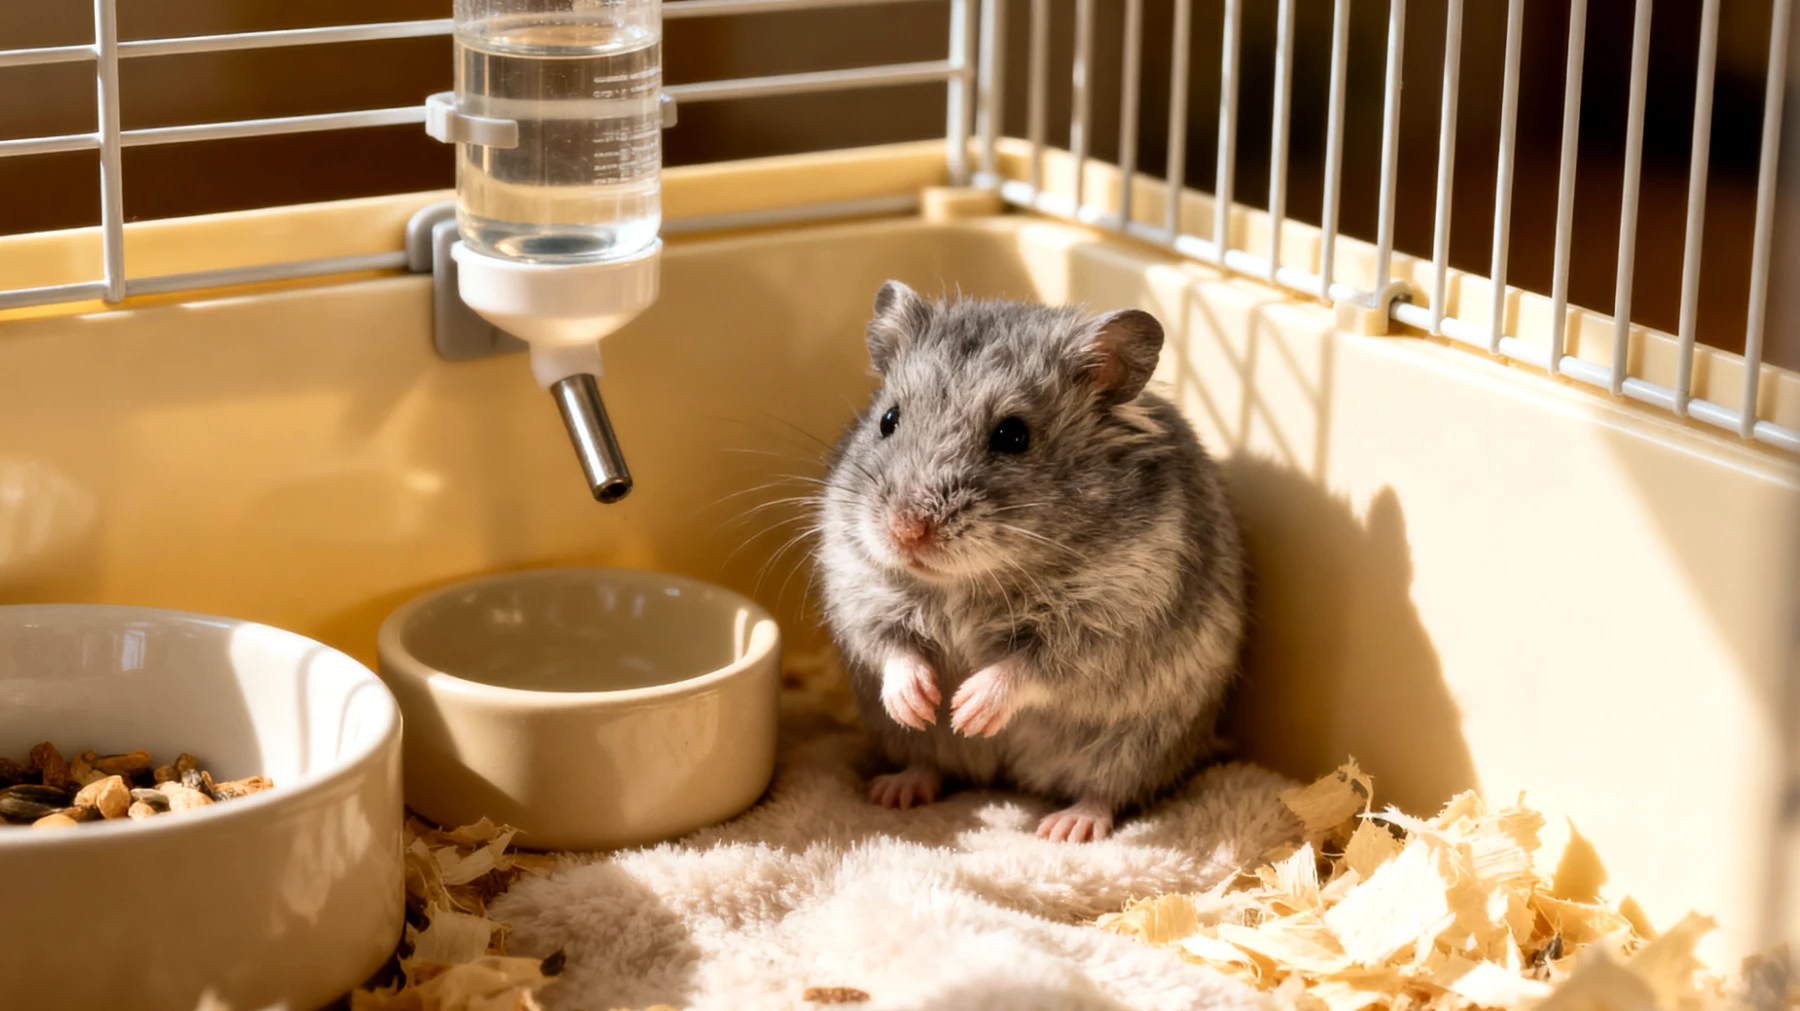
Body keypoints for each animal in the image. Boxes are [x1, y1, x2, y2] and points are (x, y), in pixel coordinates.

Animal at [816, 281, 1248, 843]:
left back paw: (1065, 827)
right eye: (889, 420)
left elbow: (1028, 666)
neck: (969, 581)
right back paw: (896, 790)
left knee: (1106, 791)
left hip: (1135, 746)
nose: (906, 531)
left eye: (1013, 436)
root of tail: (1011, 776)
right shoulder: (857, 581)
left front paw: (968, 711)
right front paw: (921, 703)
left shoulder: (1108, 622)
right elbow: (892, 647)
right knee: (931, 763)